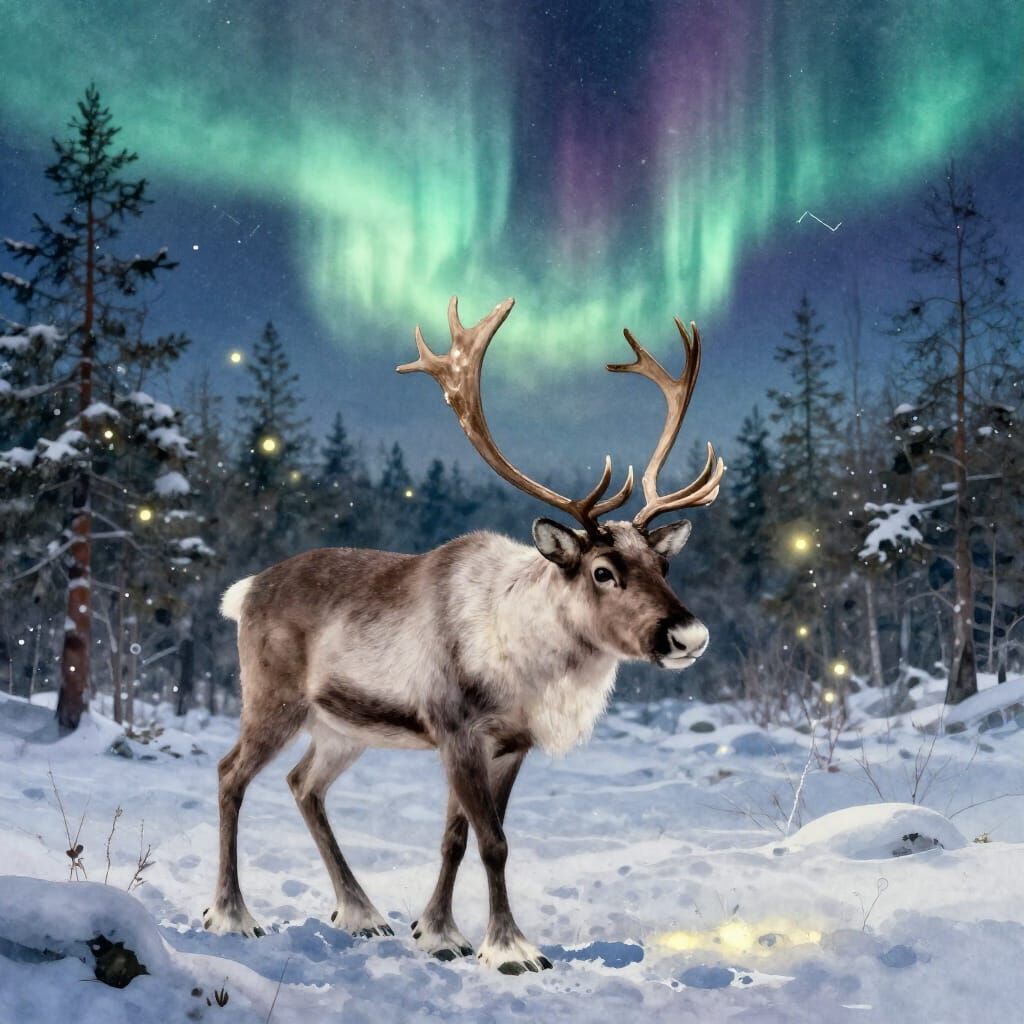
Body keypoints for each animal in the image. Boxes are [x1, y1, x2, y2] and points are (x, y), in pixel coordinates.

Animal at [203, 296, 725, 976]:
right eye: (602, 570)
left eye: (663, 565)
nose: (689, 635)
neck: (529, 664)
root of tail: (245, 591)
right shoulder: (456, 730)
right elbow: (493, 842)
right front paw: (510, 948)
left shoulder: (508, 745)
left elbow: (456, 836)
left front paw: (437, 932)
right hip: (273, 699)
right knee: (230, 774)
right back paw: (232, 914)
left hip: (341, 728)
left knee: (303, 785)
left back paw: (362, 913)